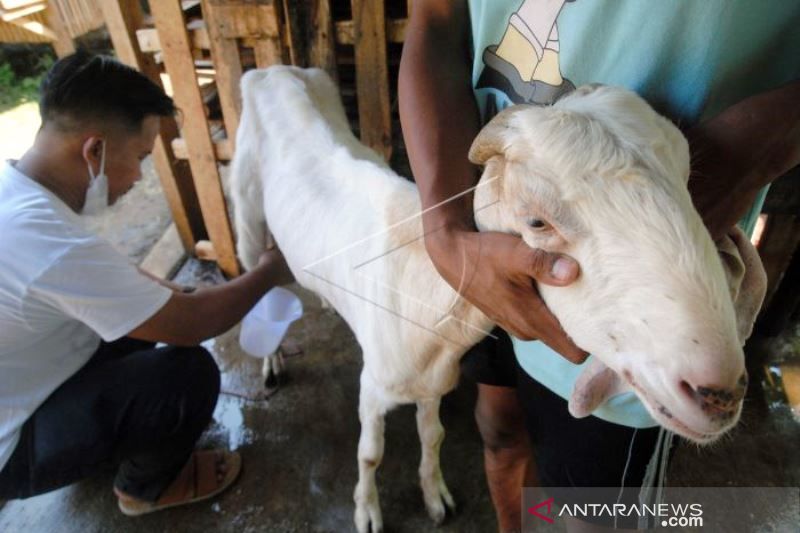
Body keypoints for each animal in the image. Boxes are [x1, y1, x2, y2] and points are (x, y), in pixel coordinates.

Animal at [230, 66, 764, 532]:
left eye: (688, 181)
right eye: (536, 222)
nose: (718, 392)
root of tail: (273, 70)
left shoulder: (432, 383)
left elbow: (433, 434)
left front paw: (436, 496)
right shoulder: (373, 387)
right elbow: (369, 454)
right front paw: (366, 512)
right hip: (246, 215)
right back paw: (271, 360)